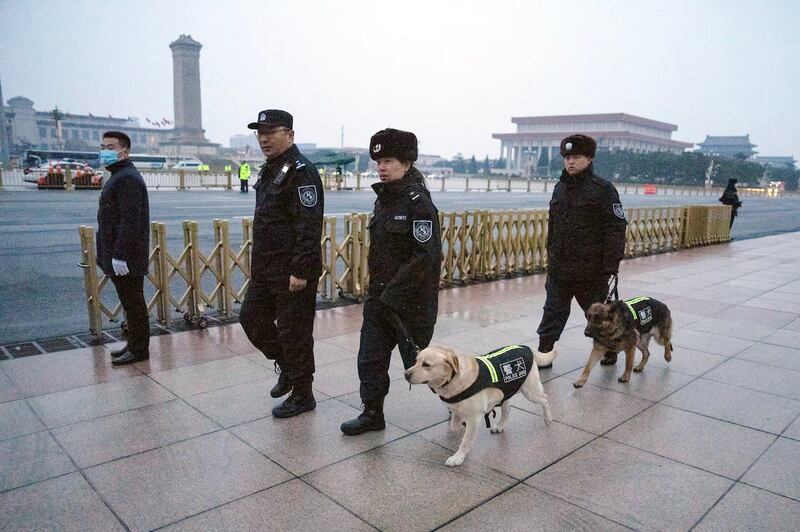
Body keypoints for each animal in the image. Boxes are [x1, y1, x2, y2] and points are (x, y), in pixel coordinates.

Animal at [406, 344, 552, 466]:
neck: (452, 380)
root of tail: (525, 346)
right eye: (416, 361)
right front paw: (461, 428)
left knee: (545, 399)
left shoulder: (474, 417)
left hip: (530, 390)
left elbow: (465, 441)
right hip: (505, 389)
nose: (406, 373)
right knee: (507, 409)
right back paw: (500, 425)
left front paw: (458, 457)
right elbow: (454, 426)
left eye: (426, 364)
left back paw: (548, 419)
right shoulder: (456, 411)